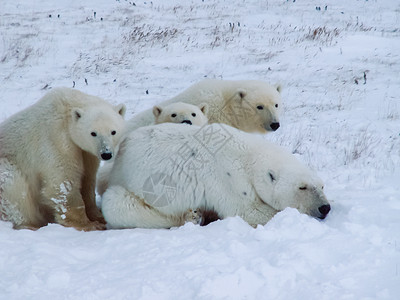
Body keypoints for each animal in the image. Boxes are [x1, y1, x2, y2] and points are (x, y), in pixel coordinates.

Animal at [0, 88, 126, 231]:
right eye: (93, 133)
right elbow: (63, 182)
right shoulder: (56, 139)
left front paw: (98, 216)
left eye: (113, 131)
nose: (106, 154)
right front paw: (89, 224)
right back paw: (31, 225)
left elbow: (88, 179)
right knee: (13, 185)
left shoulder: (87, 153)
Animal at [101, 123, 332, 229]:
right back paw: (191, 216)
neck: (247, 155)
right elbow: (248, 211)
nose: (325, 208)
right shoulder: (228, 178)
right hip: (125, 184)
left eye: (322, 186)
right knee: (117, 204)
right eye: (302, 187)